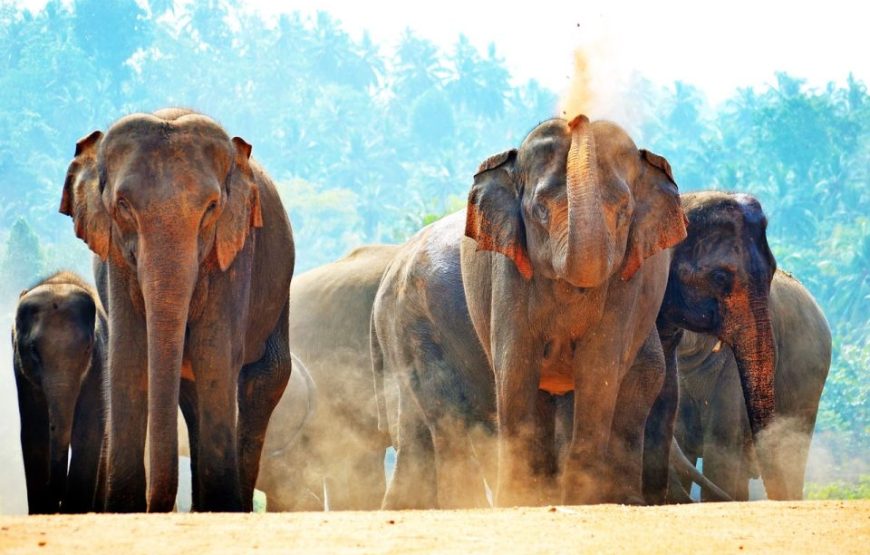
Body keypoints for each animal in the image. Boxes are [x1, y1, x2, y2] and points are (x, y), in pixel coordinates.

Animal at [12, 272, 108, 516]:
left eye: (87, 349)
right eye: (33, 351)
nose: (58, 498)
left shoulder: (98, 364)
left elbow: (88, 431)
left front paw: (74, 509)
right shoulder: (22, 373)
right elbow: (34, 432)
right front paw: (41, 511)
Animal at [59, 108, 296, 512]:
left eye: (212, 208)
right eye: (122, 206)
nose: (156, 507)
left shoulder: (234, 253)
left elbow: (214, 353)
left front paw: (223, 506)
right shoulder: (116, 260)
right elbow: (129, 355)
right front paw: (123, 509)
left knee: (264, 377)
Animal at [372, 115, 692, 510]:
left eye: (623, 213)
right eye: (539, 209)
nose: (577, 117)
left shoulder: (629, 280)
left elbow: (599, 368)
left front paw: (582, 498)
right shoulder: (507, 271)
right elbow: (516, 365)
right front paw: (518, 498)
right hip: (416, 322)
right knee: (445, 412)